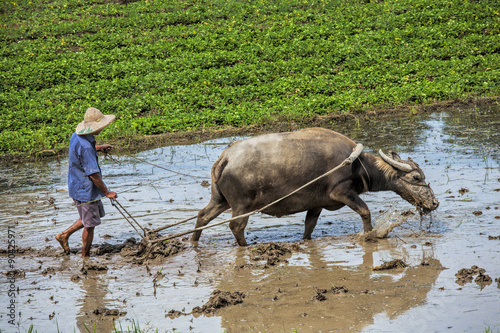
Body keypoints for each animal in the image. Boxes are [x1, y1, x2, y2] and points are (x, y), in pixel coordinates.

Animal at [191, 127, 438, 244]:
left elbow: (309, 226)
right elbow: (365, 211)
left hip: (220, 200)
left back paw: (194, 241)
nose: (434, 202)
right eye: (416, 177)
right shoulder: (342, 193)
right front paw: (369, 234)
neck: (356, 164)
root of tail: (225, 157)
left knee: (203, 215)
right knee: (236, 226)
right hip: (242, 206)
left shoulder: (317, 204)